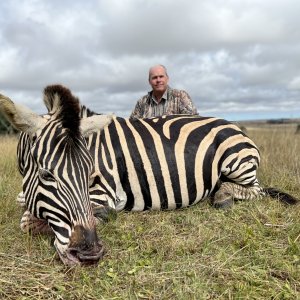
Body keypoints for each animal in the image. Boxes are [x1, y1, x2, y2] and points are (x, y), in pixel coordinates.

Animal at [0, 84, 298, 264]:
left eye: (90, 174)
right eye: (46, 175)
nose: (90, 253)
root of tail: (234, 125)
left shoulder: (104, 192)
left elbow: (27, 221)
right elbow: (23, 205)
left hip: (237, 161)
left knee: (255, 189)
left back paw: (223, 196)